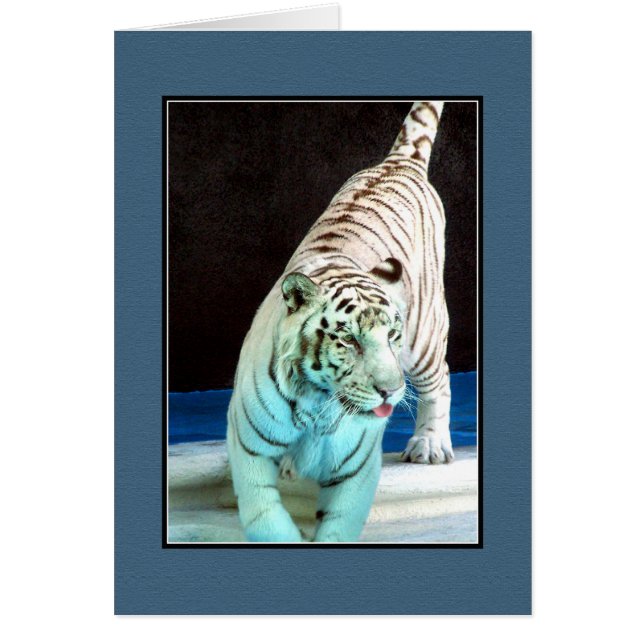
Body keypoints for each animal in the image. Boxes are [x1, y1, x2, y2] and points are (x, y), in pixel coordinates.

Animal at [226, 101, 454, 542]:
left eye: (392, 336)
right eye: (349, 341)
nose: (390, 391)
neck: (316, 404)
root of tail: (399, 162)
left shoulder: (356, 466)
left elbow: (339, 522)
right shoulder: (249, 447)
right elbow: (267, 517)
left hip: (425, 340)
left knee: (442, 379)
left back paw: (429, 446)